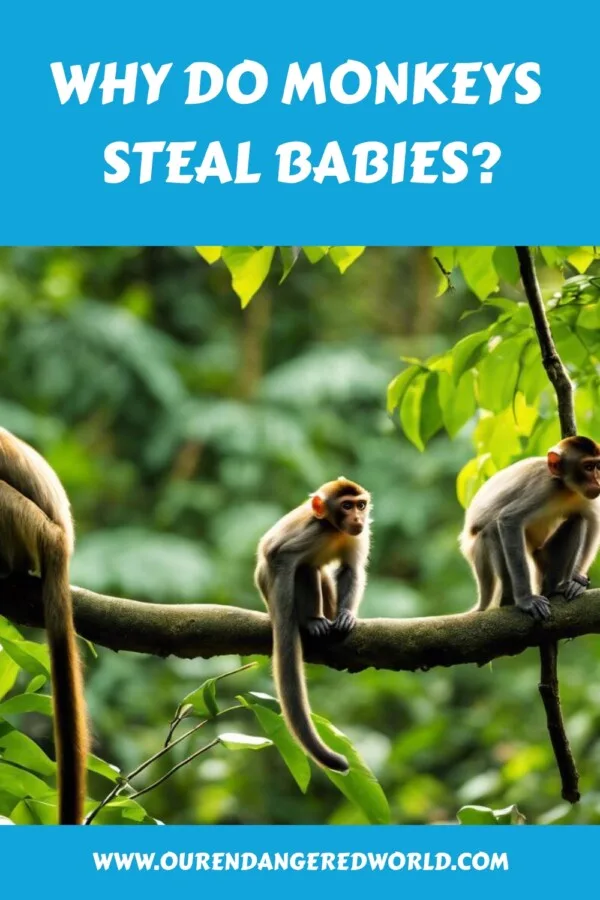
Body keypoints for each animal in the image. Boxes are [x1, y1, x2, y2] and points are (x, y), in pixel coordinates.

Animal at [255, 477, 371, 773]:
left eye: (361, 505)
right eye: (346, 506)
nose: (357, 518)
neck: (334, 530)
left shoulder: (359, 535)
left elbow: (351, 569)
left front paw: (346, 615)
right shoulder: (313, 531)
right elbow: (280, 555)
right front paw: (292, 620)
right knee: (305, 568)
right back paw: (312, 621)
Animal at [460, 436, 600, 621]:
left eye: (598, 466)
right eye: (588, 467)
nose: (598, 480)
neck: (565, 488)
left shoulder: (586, 495)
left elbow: (593, 522)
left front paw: (577, 579)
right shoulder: (544, 488)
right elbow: (509, 519)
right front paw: (526, 600)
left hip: (543, 559)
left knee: (578, 520)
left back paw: (553, 588)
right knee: (491, 530)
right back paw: (508, 600)